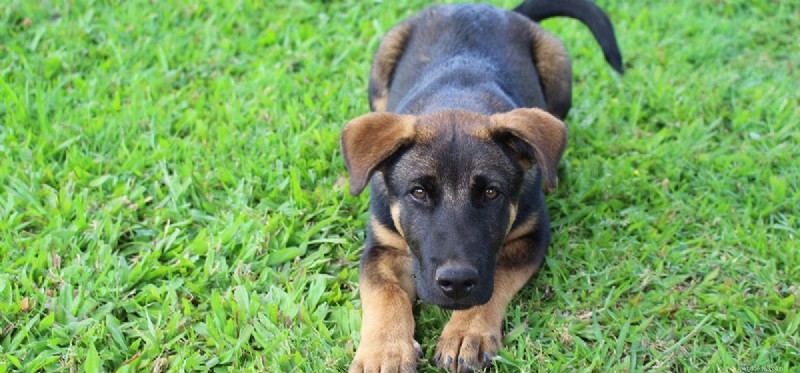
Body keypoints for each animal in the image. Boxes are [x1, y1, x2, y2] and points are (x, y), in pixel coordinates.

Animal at [340, 1, 620, 370]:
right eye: (418, 193)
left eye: (491, 193)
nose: (457, 283)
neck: (457, 99)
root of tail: (489, 8)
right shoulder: (382, 247)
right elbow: (385, 294)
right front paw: (384, 351)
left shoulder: (530, 237)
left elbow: (495, 277)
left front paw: (465, 333)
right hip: (384, 58)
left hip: (557, 64)